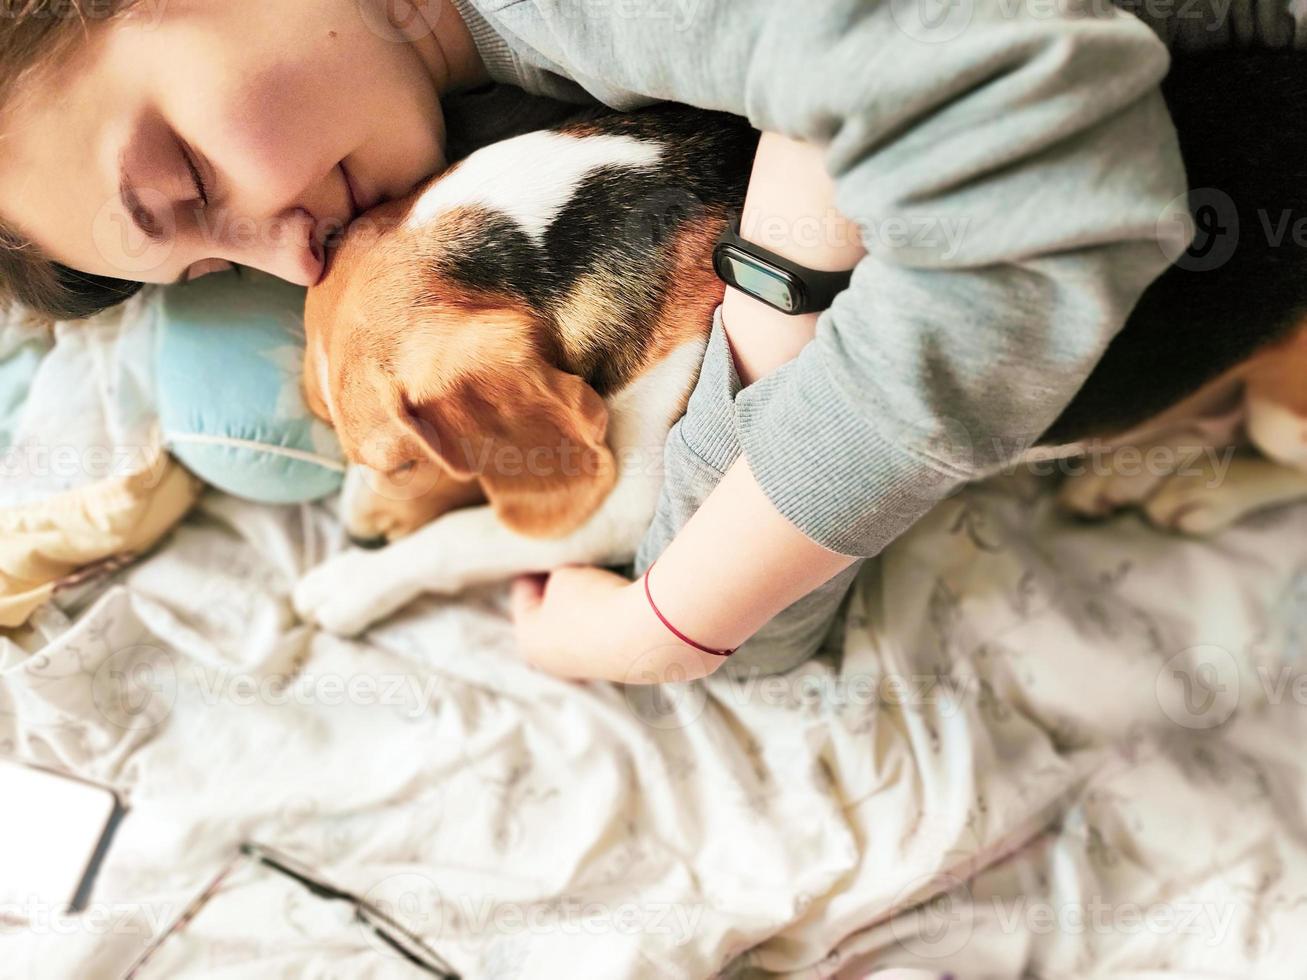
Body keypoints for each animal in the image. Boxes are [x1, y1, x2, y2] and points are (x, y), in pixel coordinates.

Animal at [296, 51, 1307, 637]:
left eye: (404, 460)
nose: (358, 532)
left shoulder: (634, 503)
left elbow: (467, 537)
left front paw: (349, 588)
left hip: (1284, 410)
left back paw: (1187, 495)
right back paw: (1131, 472)